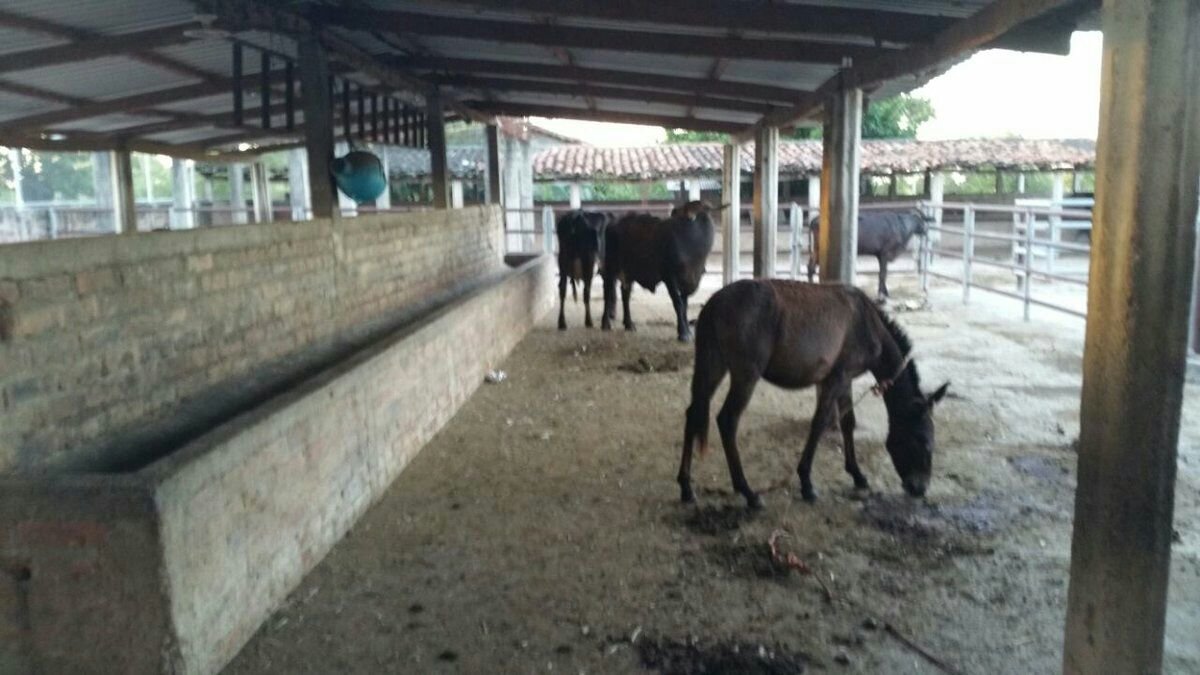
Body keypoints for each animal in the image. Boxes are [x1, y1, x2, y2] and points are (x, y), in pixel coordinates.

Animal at [677, 279, 949, 510]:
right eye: (924, 441)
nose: (919, 488)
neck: (867, 323)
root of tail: (714, 303)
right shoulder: (836, 379)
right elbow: (819, 423)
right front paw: (807, 483)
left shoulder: (845, 379)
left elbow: (848, 423)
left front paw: (857, 474)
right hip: (746, 374)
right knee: (727, 420)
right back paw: (748, 492)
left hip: (714, 365)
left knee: (693, 413)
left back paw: (686, 487)